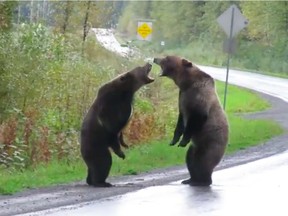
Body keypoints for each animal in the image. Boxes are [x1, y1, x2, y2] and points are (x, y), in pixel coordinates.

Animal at [154, 55, 228, 186]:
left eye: (167, 58)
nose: (155, 58)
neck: (187, 83)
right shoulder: (182, 97)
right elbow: (180, 120)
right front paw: (174, 140)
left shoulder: (200, 96)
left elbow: (196, 118)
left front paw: (183, 140)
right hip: (195, 146)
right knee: (190, 158)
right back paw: (190, 179)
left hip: (211, 143)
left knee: (203, 161)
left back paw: (202, 180)